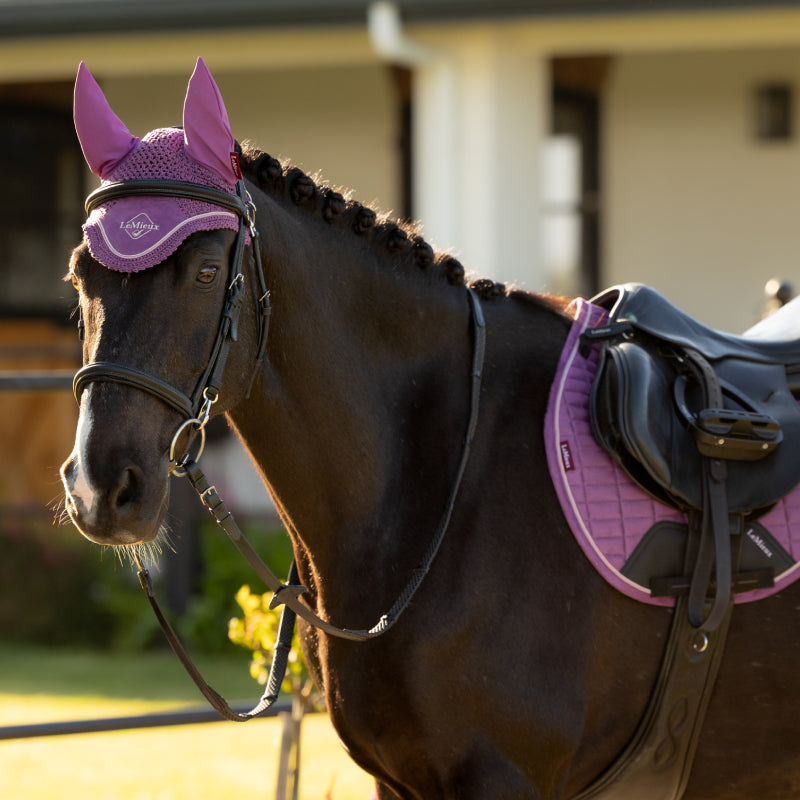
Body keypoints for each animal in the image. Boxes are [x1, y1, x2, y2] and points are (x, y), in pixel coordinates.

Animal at [60, 60, 800, 799]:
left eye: (208, 271)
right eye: (79, 275)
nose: (101, 488)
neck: (445, 474)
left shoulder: (502, 779)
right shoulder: (397, 780)